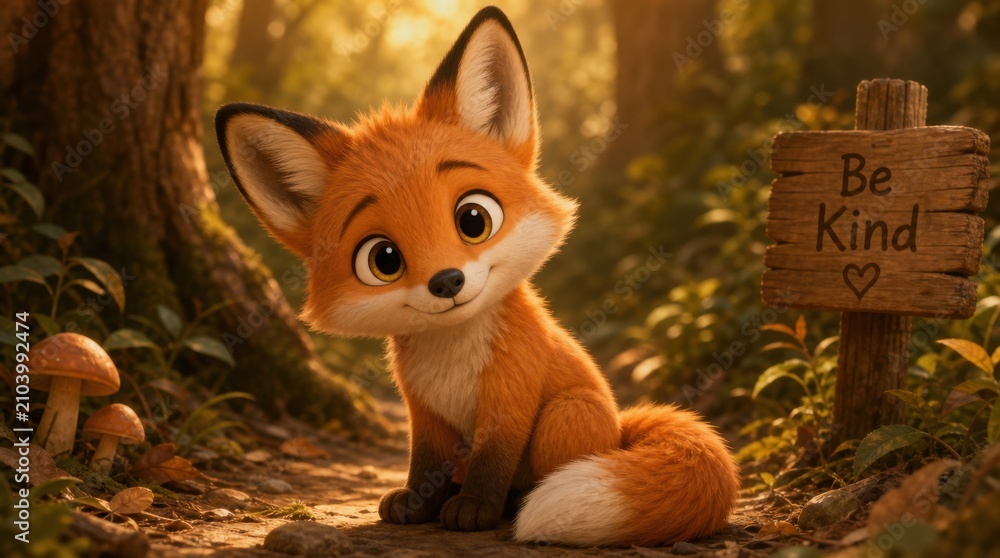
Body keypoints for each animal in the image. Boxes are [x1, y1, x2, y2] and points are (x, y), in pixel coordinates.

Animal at [215, 6, 739, 546]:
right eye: (384, 259)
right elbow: (424, 462)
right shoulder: (422, 408)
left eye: (473, 219)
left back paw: (511, 501)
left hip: (567, 413)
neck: (453, 354)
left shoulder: (510, 398)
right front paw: (419, 502)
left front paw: (476, 507)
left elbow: (494, 461)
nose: (447, 282)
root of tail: (620, 428)